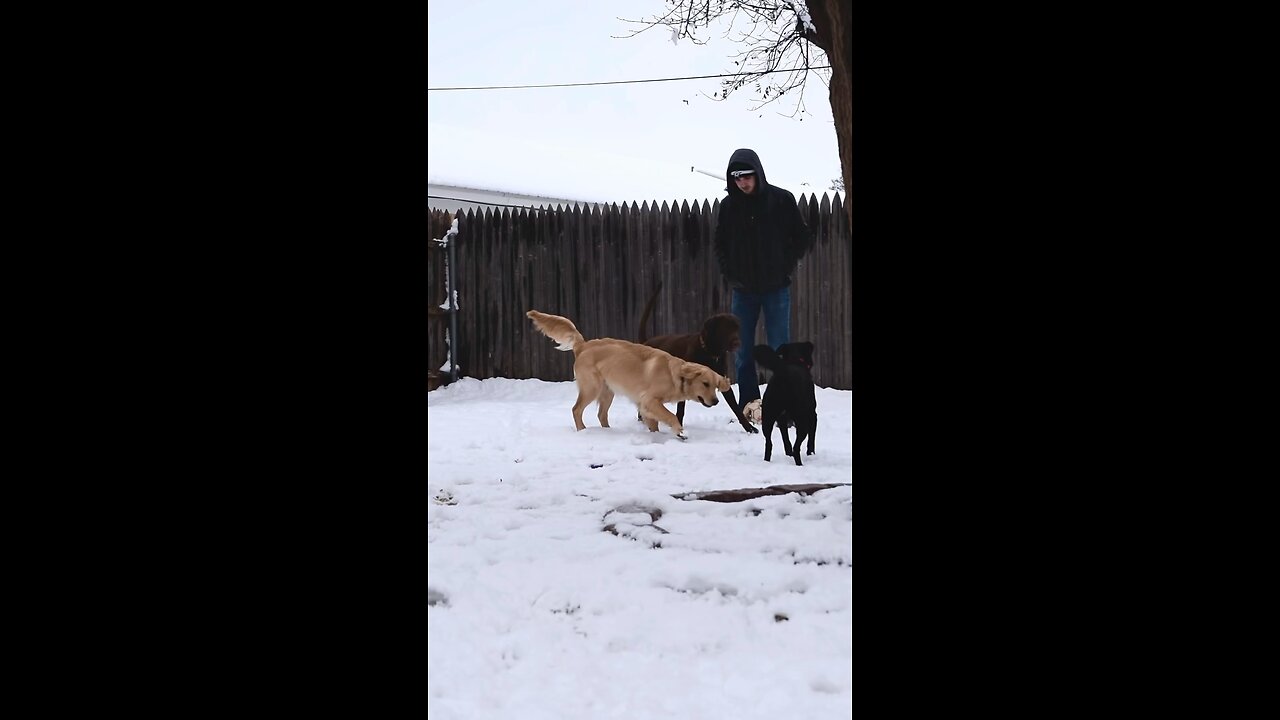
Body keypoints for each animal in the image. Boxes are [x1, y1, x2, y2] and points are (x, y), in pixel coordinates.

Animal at [524, 308, 732, 438]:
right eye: (705, 384)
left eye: (715, 386)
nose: (715, 401)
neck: (675, 375)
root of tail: (583, 345)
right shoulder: (650, 400)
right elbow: (671, 416)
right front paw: (679, 431)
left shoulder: (645, 405)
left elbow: (654, 424)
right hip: (592, 388)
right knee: (576, 409)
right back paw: (583, 431)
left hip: (607, 392)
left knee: (601, 415)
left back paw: (608, 431)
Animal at [634, 283, 752, 435]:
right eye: (725, 329)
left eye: (737, 328)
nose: (737, 342)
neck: (710, 352)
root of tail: (646, 341)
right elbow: (681, 408)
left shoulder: (723, 380)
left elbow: (736, 408)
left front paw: (750, 428)